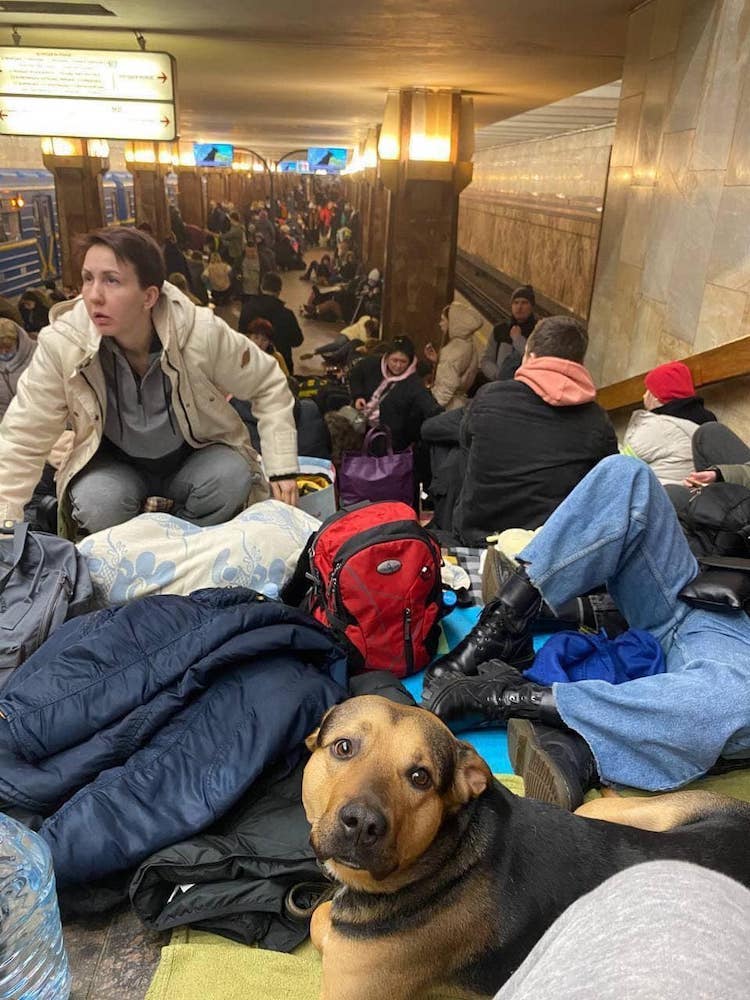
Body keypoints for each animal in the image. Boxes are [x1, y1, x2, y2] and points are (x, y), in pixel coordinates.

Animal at [302, 696, 750, 1000]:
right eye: (343, 747)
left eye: (420, 777)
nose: (362, 824)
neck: (445, 856)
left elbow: (321, 922)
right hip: (620, 810)